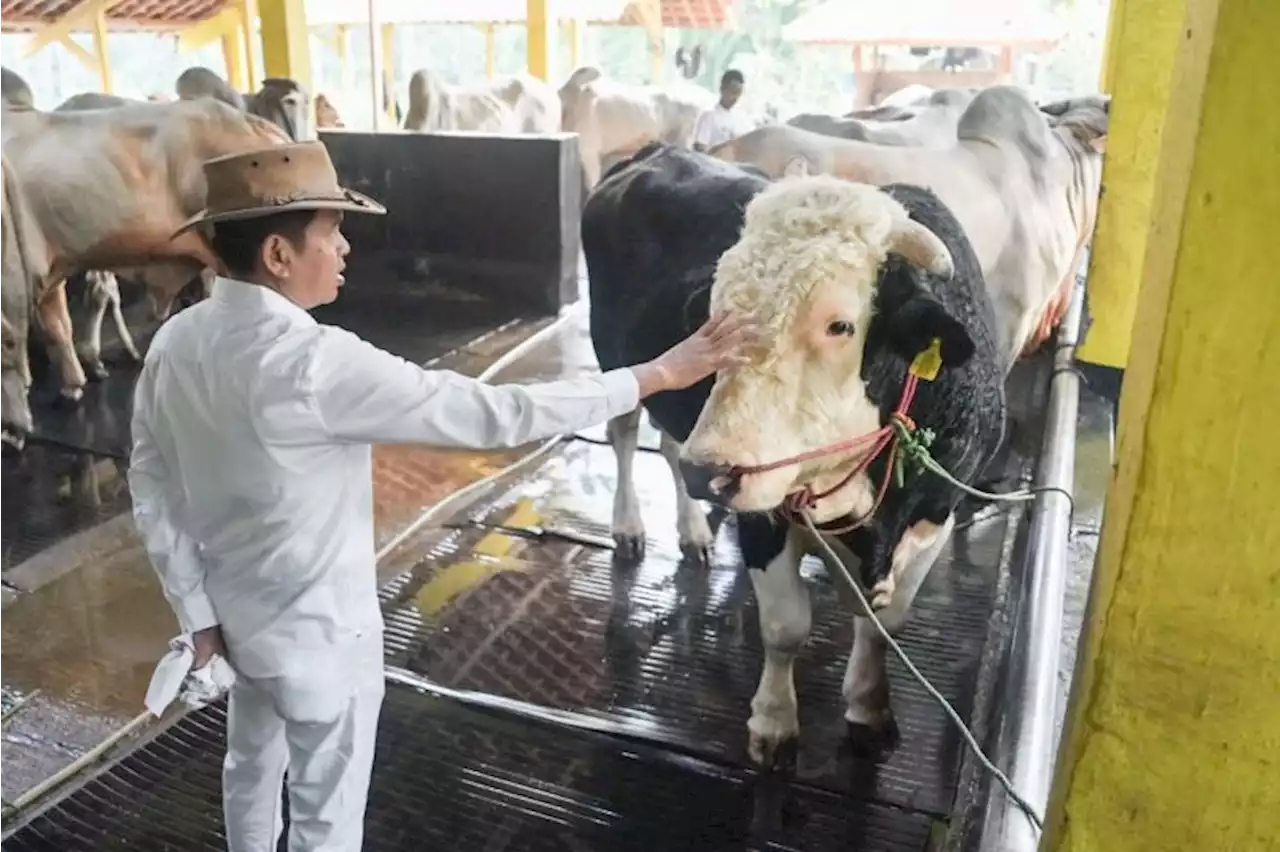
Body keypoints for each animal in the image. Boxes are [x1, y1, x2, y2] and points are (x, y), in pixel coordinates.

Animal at [583, 142, 1008, 757]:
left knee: (667, 445)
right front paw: (774, 723)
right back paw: (630, 525)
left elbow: (885, 624)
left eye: (840, 325)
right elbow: (786, 627)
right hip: (614, 357)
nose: (713, 471)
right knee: (622, 435)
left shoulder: (937, 514)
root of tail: (658, 149)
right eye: (715, 312)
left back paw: (694, 529)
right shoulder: (762, 510)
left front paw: (869, 705)